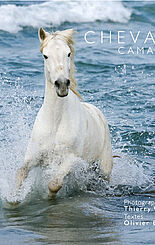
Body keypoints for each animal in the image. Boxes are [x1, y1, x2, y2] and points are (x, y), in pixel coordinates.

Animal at [16, 27, 112, 195]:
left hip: (104, 169)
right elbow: (20, 173)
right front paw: (12, 198)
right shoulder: (33, 156)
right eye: (45, 55)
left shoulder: (70, 159)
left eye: (68, 53)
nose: (61, 84)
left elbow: (54, 184)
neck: (55, 121)